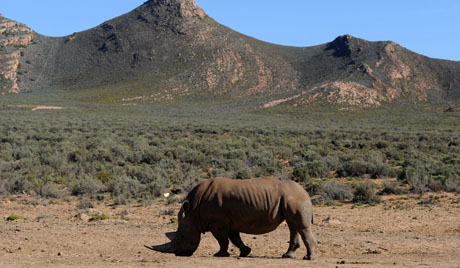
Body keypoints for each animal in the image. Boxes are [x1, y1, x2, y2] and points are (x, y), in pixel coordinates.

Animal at [149, 178, 318, 260]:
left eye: (182, 236)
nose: (179, 254)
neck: (193, 212)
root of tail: (305, 191)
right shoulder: (229, 221)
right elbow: (235, 238)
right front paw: (245, 252)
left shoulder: (217, 223)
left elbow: (222, 240)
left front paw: (219, 255)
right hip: (291, 198)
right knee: (292, 225)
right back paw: (287, 256)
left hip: (294, 198)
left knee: (300, 227)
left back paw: (308, 258)